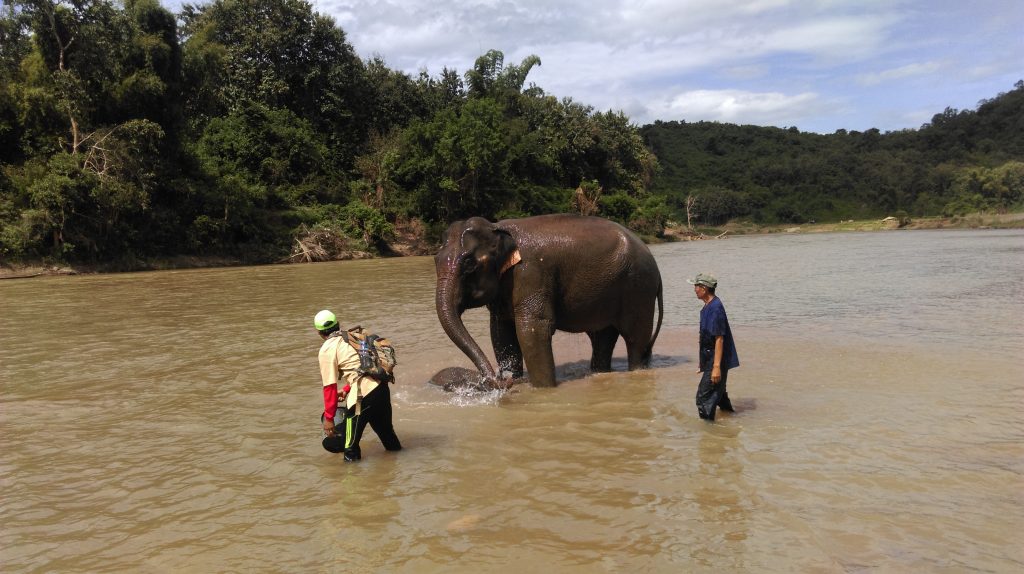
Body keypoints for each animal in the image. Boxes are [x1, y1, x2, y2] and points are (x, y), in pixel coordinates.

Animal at [432, 214, 663, 388]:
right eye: (435, 259)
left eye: (469, 264)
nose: (501, 381)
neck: (497, 227)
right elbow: (501, 333)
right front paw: (514, 377)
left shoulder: (531, 273)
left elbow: (532, 330)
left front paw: (542, 389)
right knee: (602, 337)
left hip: (638, 288)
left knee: (635, 340)